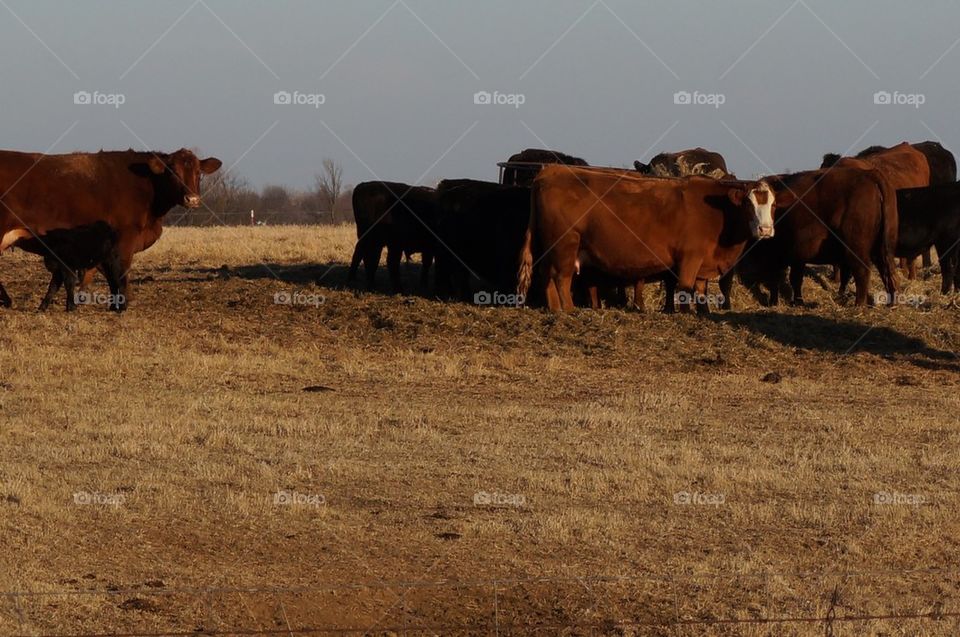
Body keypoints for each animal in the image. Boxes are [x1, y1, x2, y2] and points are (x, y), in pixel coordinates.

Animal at [0, 148, 222, 308]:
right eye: (173, 172)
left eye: (198, 173)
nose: (192, 199)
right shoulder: (124, 239)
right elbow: (120, 272)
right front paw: (122, 303)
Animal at [517, 166, 784, 313]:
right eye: (749, 205)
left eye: (772, 205)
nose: (765, 229)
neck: (718, 212)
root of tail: (551, 171)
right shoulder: (690, 258)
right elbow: (685, 288)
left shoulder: (703, 264)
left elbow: (700, 291)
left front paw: (703, 312)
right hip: (566, 244)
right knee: (561, 278)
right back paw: (569, 310)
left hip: (551, 248)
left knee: (546, 276)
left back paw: (555, 310)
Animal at [722, 167, 898, 307]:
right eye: (748, 204)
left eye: (773, 205)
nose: (765, 229)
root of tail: (869, 174)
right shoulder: (797, 254)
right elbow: (795, 278)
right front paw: (797, 301)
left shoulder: (776, 255)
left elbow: (776, 279)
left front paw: (773, 302)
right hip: (882, 249)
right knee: (887, 272)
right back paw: (891, 303)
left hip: (856, 250)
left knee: (862, 272)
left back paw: (859, 304)